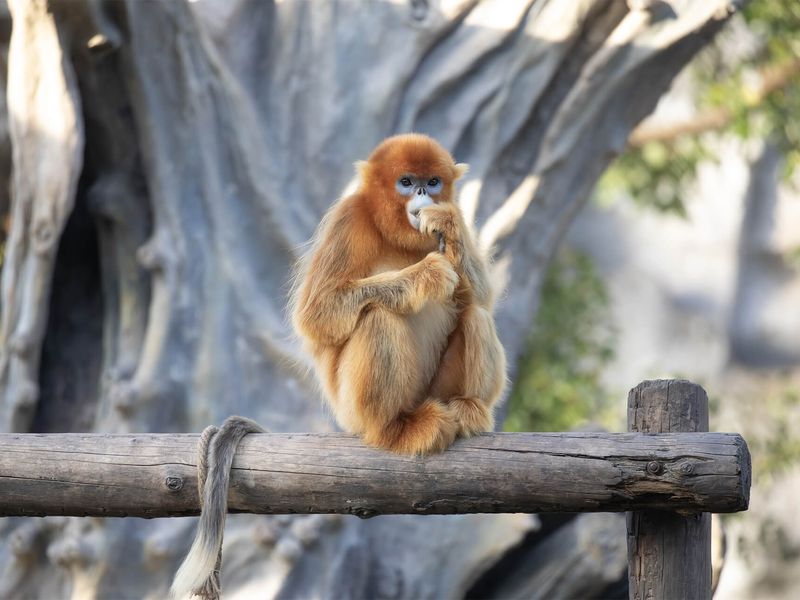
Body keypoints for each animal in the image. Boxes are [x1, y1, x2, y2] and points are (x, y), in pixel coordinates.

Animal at [294, 135, 506, 454]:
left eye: (432, 181)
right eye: (406, 182)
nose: (421, 191)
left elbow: (482, 298)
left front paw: (445, 224)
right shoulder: (349, 216)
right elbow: (317, 314)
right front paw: (428, 274)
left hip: (434, 392)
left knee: (476, 315)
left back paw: (467, 408)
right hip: (351, 411)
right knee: (377, 316)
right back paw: (393, 428)